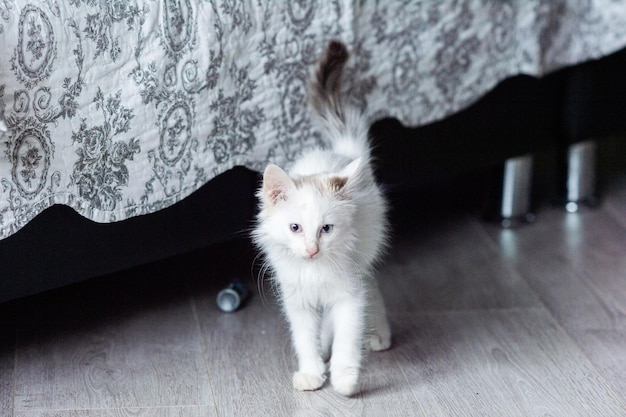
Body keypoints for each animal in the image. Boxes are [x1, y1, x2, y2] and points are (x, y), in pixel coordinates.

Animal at [250, 40, 388, 394]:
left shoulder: (349, 294)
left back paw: (379, 335)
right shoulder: (296, 299)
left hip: (364, 254)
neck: (313, 272)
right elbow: (304, 338)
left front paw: (344, 379)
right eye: (295, 228)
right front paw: (312, 372)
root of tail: (343, 154)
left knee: (371, 286)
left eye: (326, 229)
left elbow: (347, 337)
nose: (312, 250)